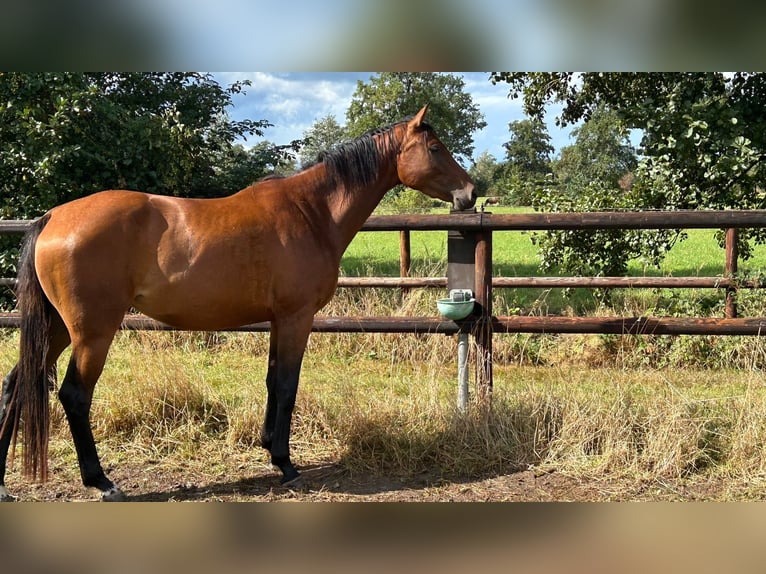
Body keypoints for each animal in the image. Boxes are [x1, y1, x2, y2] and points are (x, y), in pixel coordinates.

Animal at [0, 106, 476, 502]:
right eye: (435, 148)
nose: (470, 192)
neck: (311, 211)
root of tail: (52, 218)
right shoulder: (297, 318)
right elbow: (287, 386)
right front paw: (286, 463)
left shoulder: (278, 321)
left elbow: (272, 382)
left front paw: (269, 447)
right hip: (92, 332)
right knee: (74, 395)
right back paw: (101, 481)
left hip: (56, 328)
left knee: (15, 384)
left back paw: (5, 485)